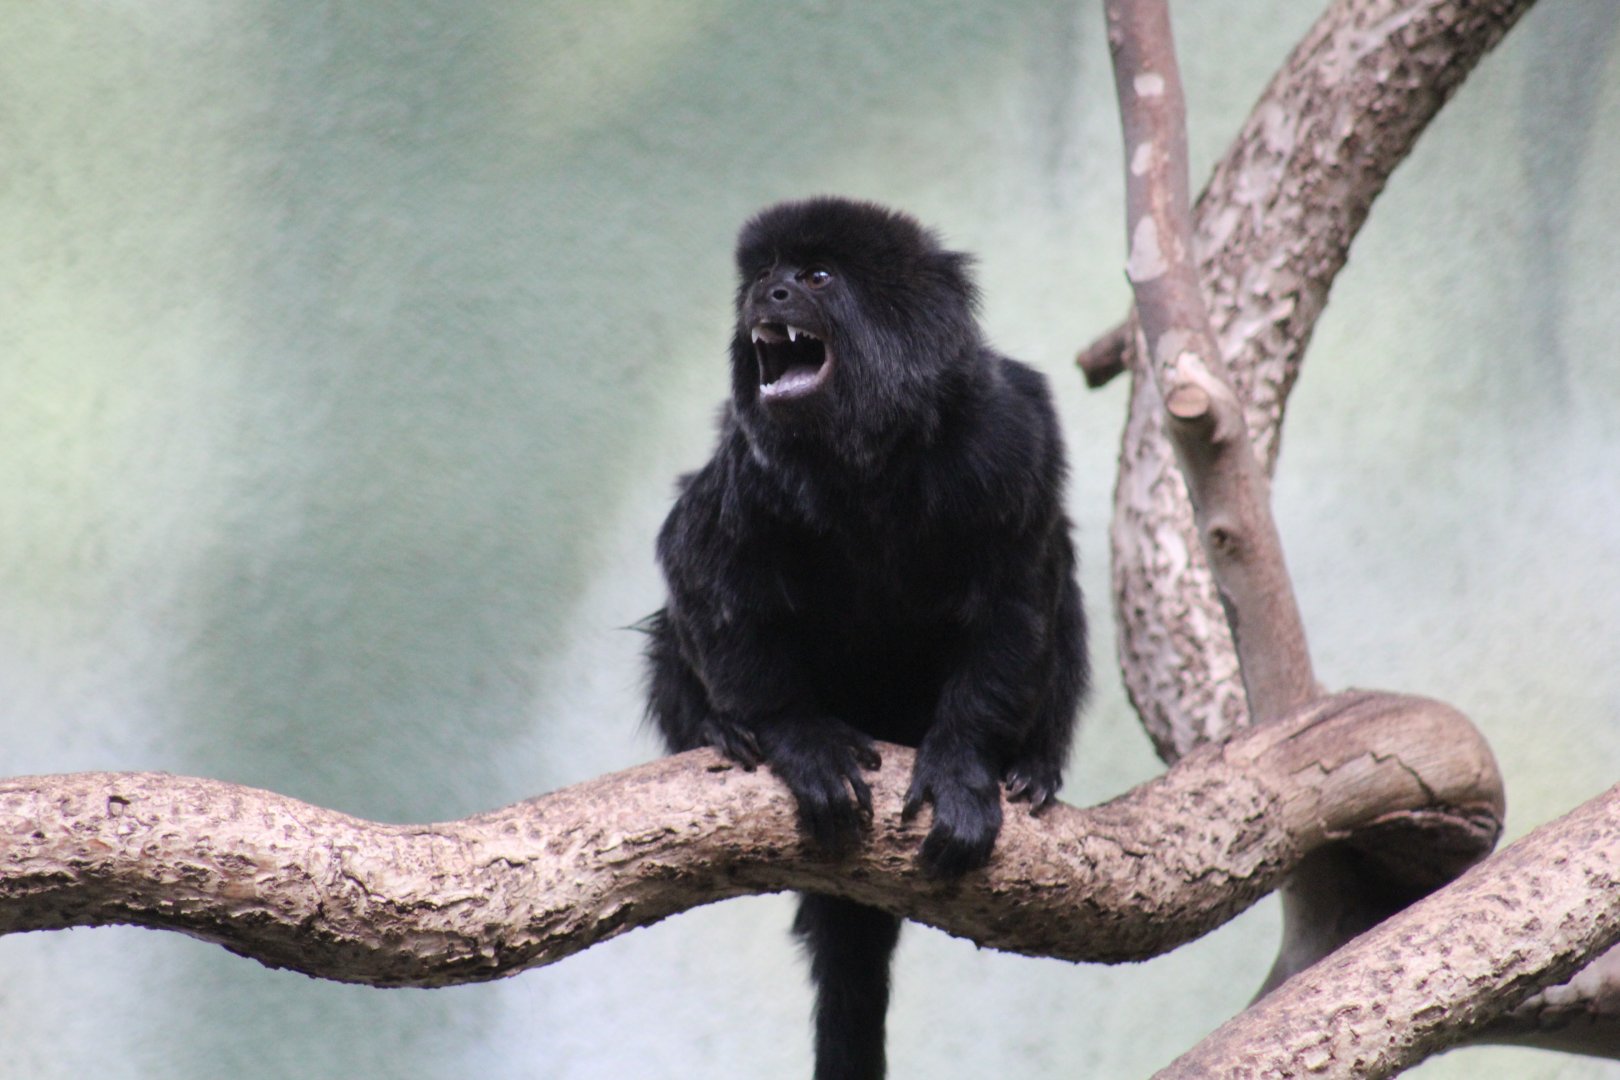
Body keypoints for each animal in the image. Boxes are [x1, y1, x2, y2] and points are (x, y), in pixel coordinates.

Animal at [644, 197, 1087, 1080]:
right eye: (764, 274)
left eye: (815, 277)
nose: (770, 295)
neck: (871, 460)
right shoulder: (746, 469)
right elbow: (699, 564)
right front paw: (797, 739)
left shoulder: (1013, 436)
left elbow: (1020, 594)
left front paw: (964, 771)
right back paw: (712, 726)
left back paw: (1032, 766)